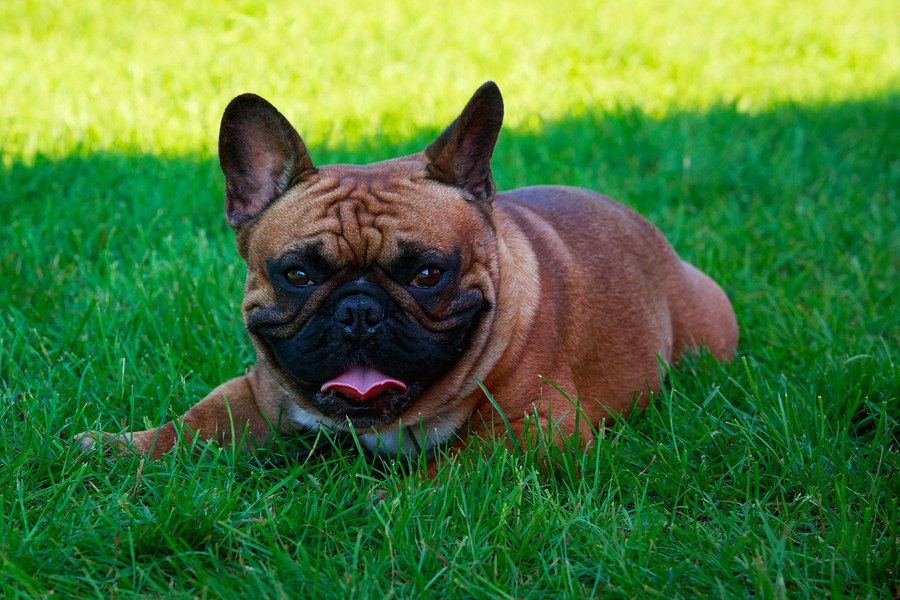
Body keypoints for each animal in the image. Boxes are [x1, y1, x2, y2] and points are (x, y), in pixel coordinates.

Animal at [77, 82, 740, 474]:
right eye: (297, 274)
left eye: (427, 274)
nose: (359, 310)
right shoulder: (258, 395)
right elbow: (197, 422)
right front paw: (123, 448)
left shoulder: (536, 429)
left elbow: (451, 468)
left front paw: (383, 500)